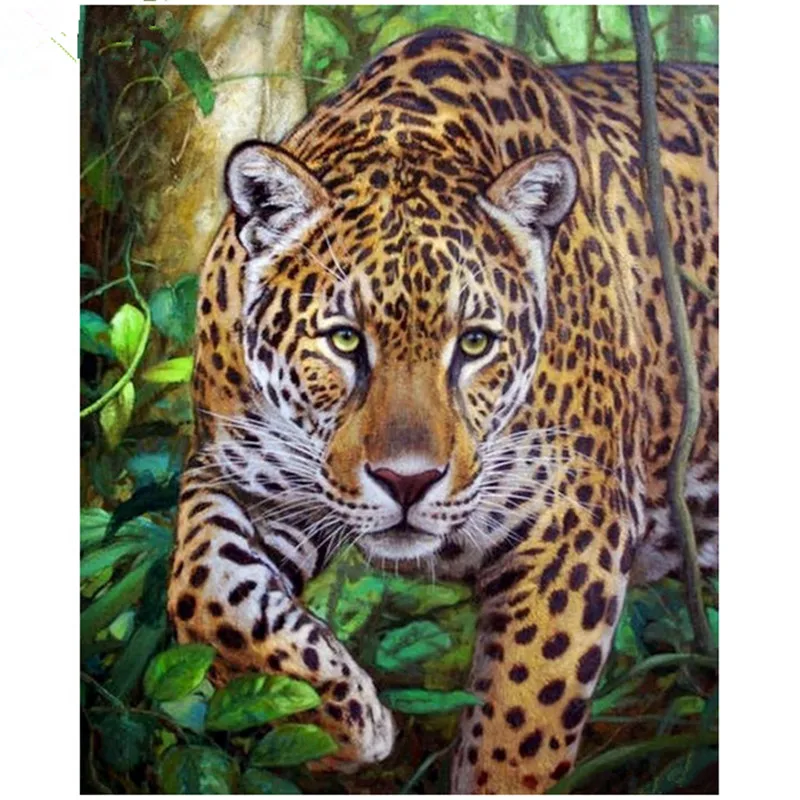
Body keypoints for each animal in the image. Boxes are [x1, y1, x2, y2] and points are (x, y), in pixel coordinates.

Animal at [167, 27, 718, 793]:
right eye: (345, 339)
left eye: (475, 343)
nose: (408, 483)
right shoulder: (241, 471)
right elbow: (204, 588)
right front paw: (329, 719)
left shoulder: (576, 527)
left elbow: (519, 730)